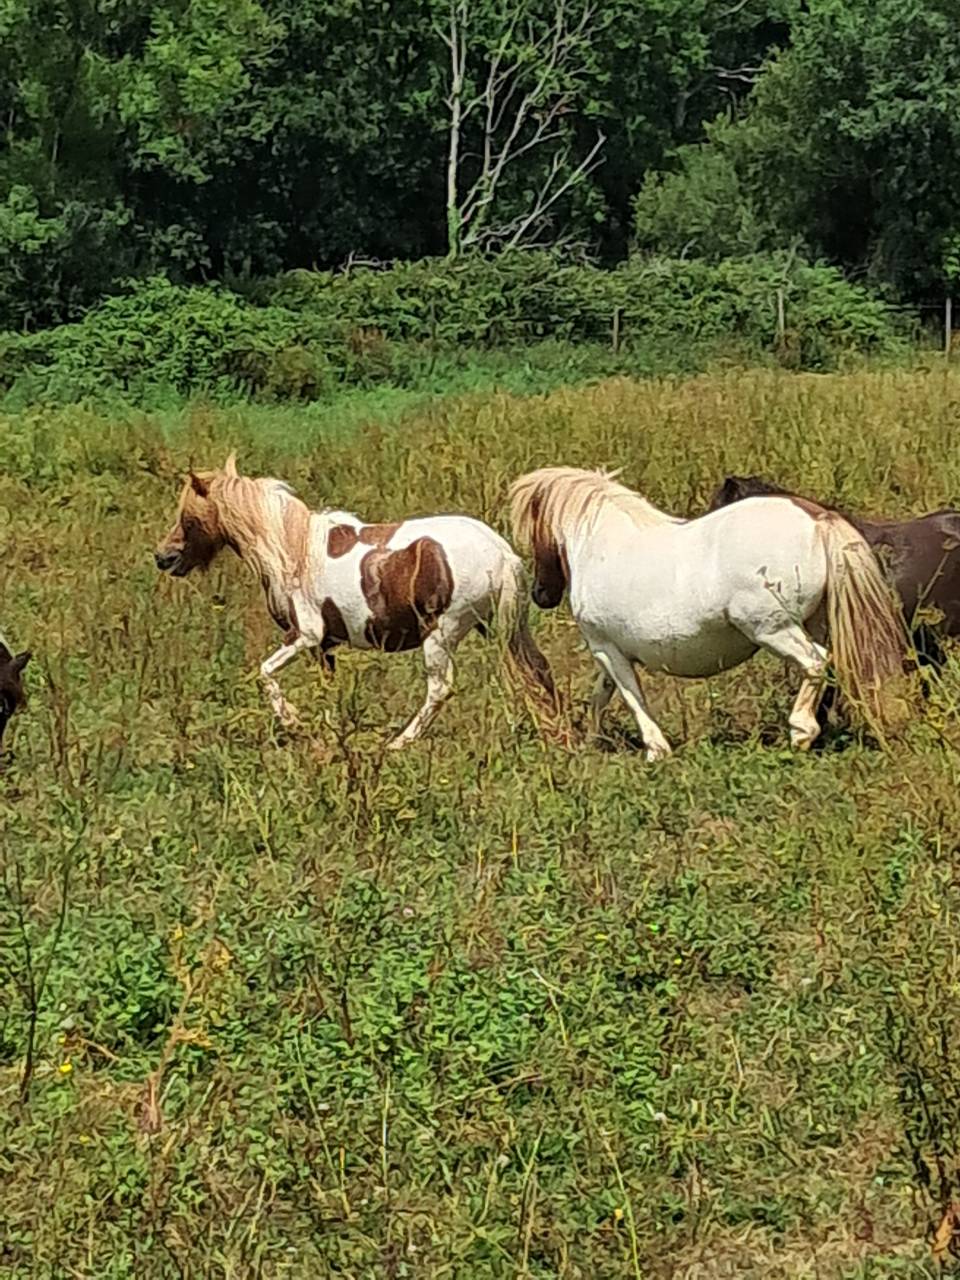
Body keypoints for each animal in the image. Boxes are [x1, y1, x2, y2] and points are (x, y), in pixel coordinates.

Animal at [154, 454, 558, 749]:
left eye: (188, 517)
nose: (164, 558)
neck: (291, 548)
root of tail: (502, 551)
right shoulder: (324, 646)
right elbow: (326, 689)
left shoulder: (305, 635)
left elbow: (264, 672)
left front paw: (293, 720)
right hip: (502, 629)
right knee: (537, 670)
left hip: (441, 635)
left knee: (440, 689)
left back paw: (400, 743)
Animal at [510, 466, 910, 758]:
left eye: (535, 532)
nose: (540, 594)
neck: (604, 546)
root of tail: (818, 519)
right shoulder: (612, 650)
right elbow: (603, 695)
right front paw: (591, 743)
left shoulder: (605, 648)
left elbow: (631, 696)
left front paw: (655, 750)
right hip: (814, 624)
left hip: (773, 629)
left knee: (814, 663)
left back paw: (800, 733)